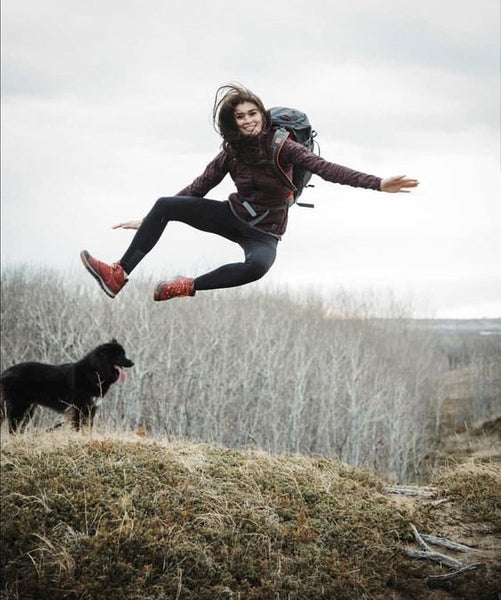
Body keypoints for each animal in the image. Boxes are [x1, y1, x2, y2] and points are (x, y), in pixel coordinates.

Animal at [0, 338, 134, 432]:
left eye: (124, 354)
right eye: (119, 355)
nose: (132, 362)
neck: (95, 372)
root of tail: (5, 372)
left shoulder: (91, 409)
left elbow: (88, 428)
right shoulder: (79, 408)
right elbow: (79, 428)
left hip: (29, 410)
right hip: (20, 407)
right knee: (13, 428)